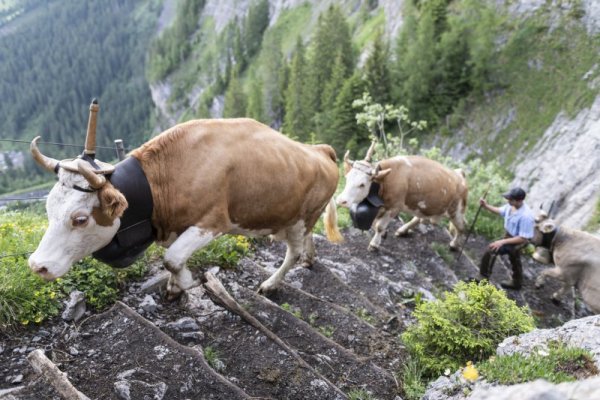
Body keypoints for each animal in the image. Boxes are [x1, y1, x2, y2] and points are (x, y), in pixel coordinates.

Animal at [29, 117, 342, 298]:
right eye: (48, 209)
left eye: (80, 219)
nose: (36, 265)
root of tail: (320, 149)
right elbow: (173, 257)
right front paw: (173, 285)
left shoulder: (212, 222)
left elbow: (173, 258)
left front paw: (186, 282)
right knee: (307, 242)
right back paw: (309, 260)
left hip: (302, 218)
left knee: (293, 252)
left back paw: (272, 283)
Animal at [336, 144, 466, 250]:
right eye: (347, 178)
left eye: (362, 184)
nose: (341, 200)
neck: (385, 181)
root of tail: (459, 174)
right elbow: (375, 223)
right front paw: (383, 234)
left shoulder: (395, 207)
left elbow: (379, 226)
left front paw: (374, 244)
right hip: (425, 206)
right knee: (419, 218)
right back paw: (403, 230)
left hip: (456, 211)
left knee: (461, 227)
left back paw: (454, 245)